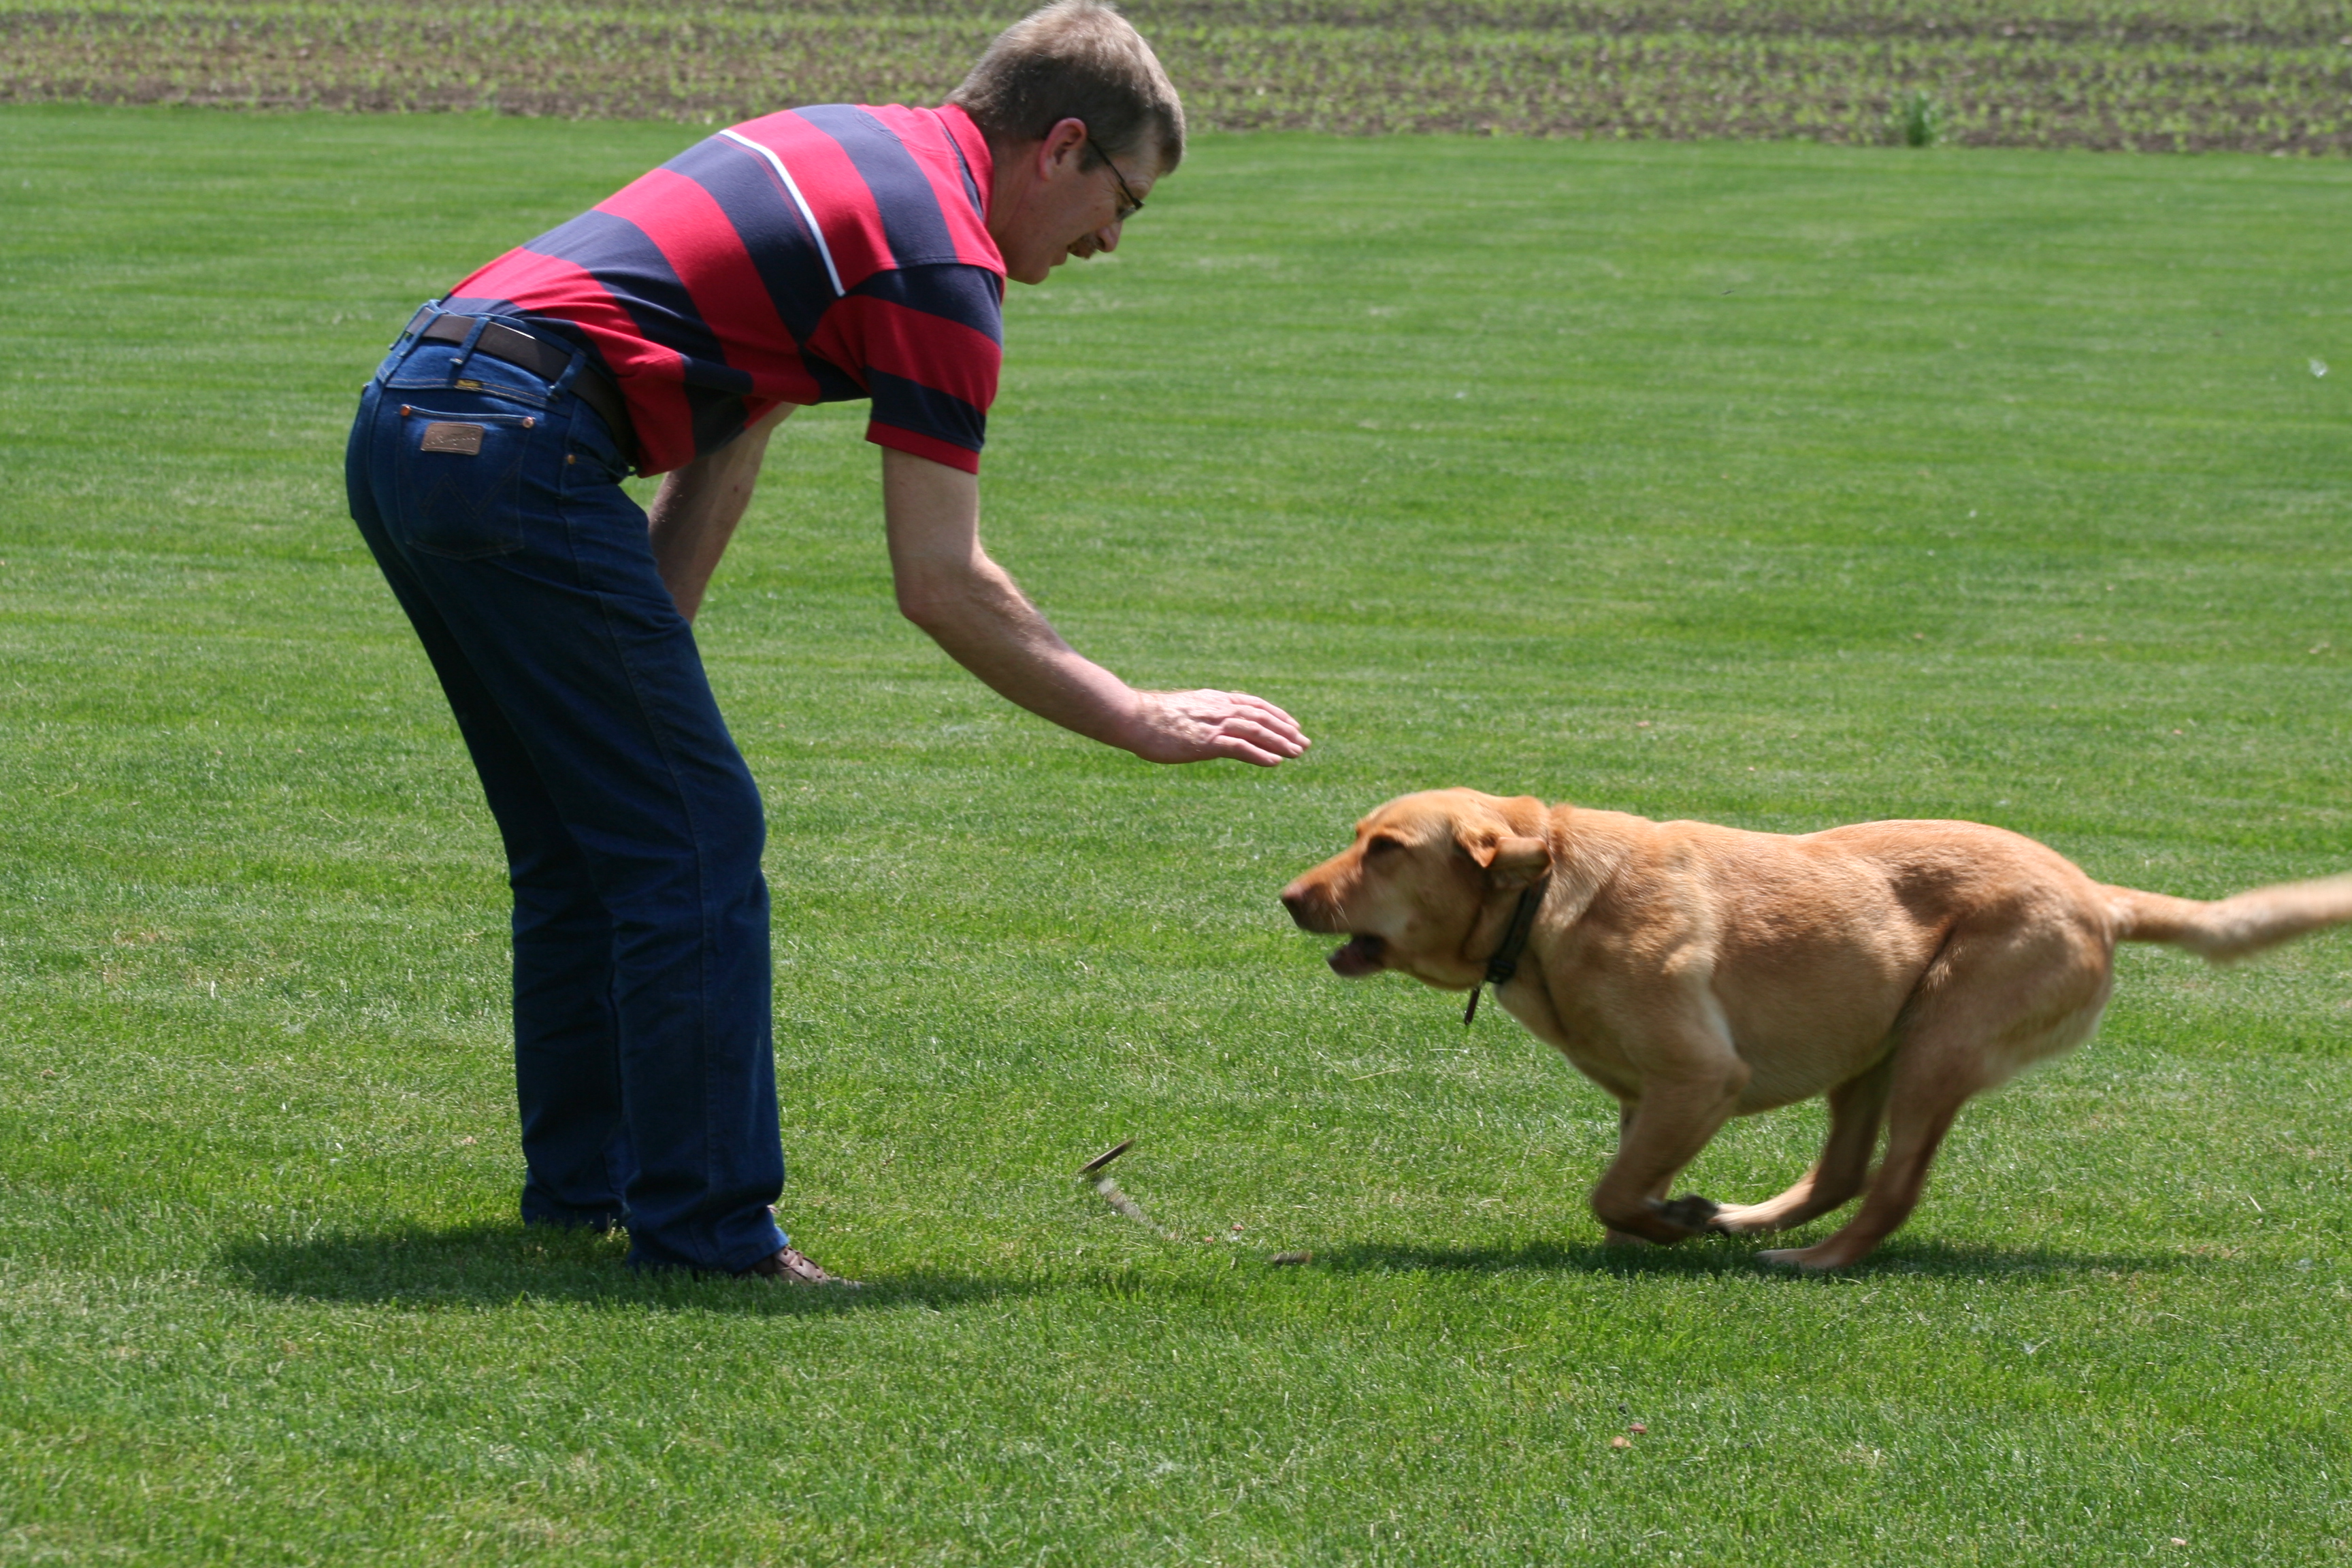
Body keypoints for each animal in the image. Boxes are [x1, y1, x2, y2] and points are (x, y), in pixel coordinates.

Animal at [1280, 788, 2352, 1270]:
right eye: (1359, 836)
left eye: (1386, 849)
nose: (1289, 897)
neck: (1543, 904)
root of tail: (2099, 895)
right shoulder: (1648, 1097)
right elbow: (1627, 1188)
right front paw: (1674, 1220)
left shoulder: (1697, 1078)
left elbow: (1612, 1191)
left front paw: (1664, 1223)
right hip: (1872, 1049)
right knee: (1840, 1173)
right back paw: (1746, 1223)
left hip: (1940, 1042)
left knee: (1889, 1190)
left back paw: (1810, 1262)